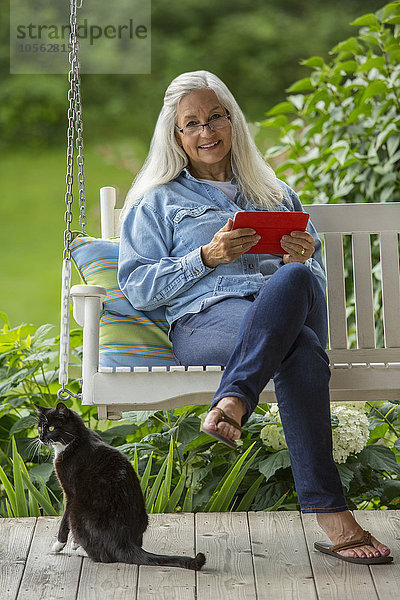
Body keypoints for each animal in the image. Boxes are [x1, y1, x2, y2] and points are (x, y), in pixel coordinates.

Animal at [34, 400, 206, 568]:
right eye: (39, 427)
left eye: (51, 428)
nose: (41, 437)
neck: (76, 440)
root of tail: (124, 541)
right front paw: (75, 544)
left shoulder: (70, 493)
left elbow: (64, 522)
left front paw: (58, 546)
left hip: (78, 511)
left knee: (103, 557)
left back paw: (82, 552)